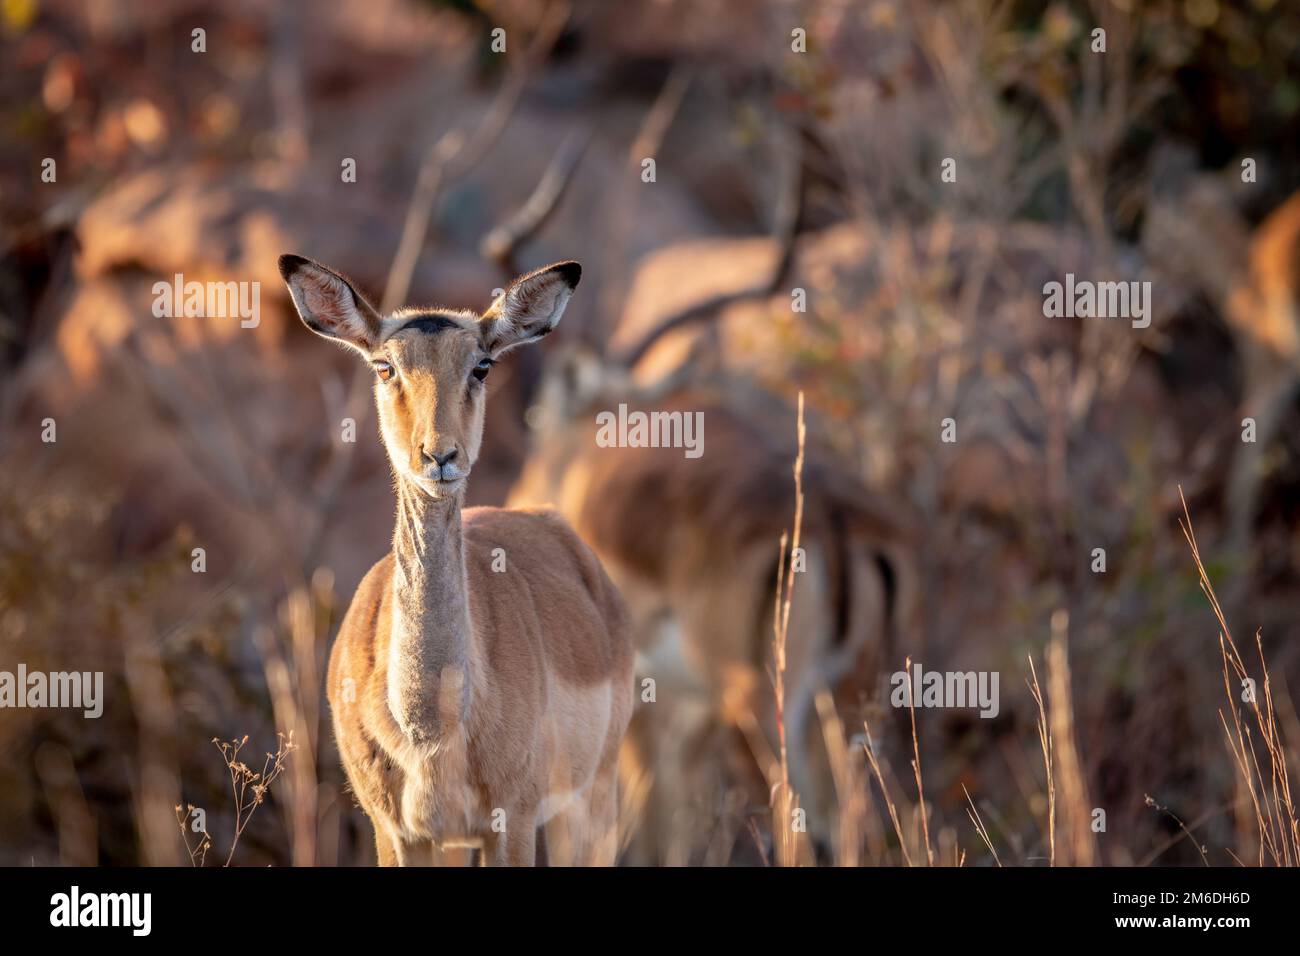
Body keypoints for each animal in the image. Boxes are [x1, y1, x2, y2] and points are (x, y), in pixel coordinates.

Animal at [279, 254, 634, 866]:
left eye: (482, 366)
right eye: (385, 367)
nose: (440, 455)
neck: (431, 725)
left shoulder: (512, 824)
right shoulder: (400, 833)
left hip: (590, 802)